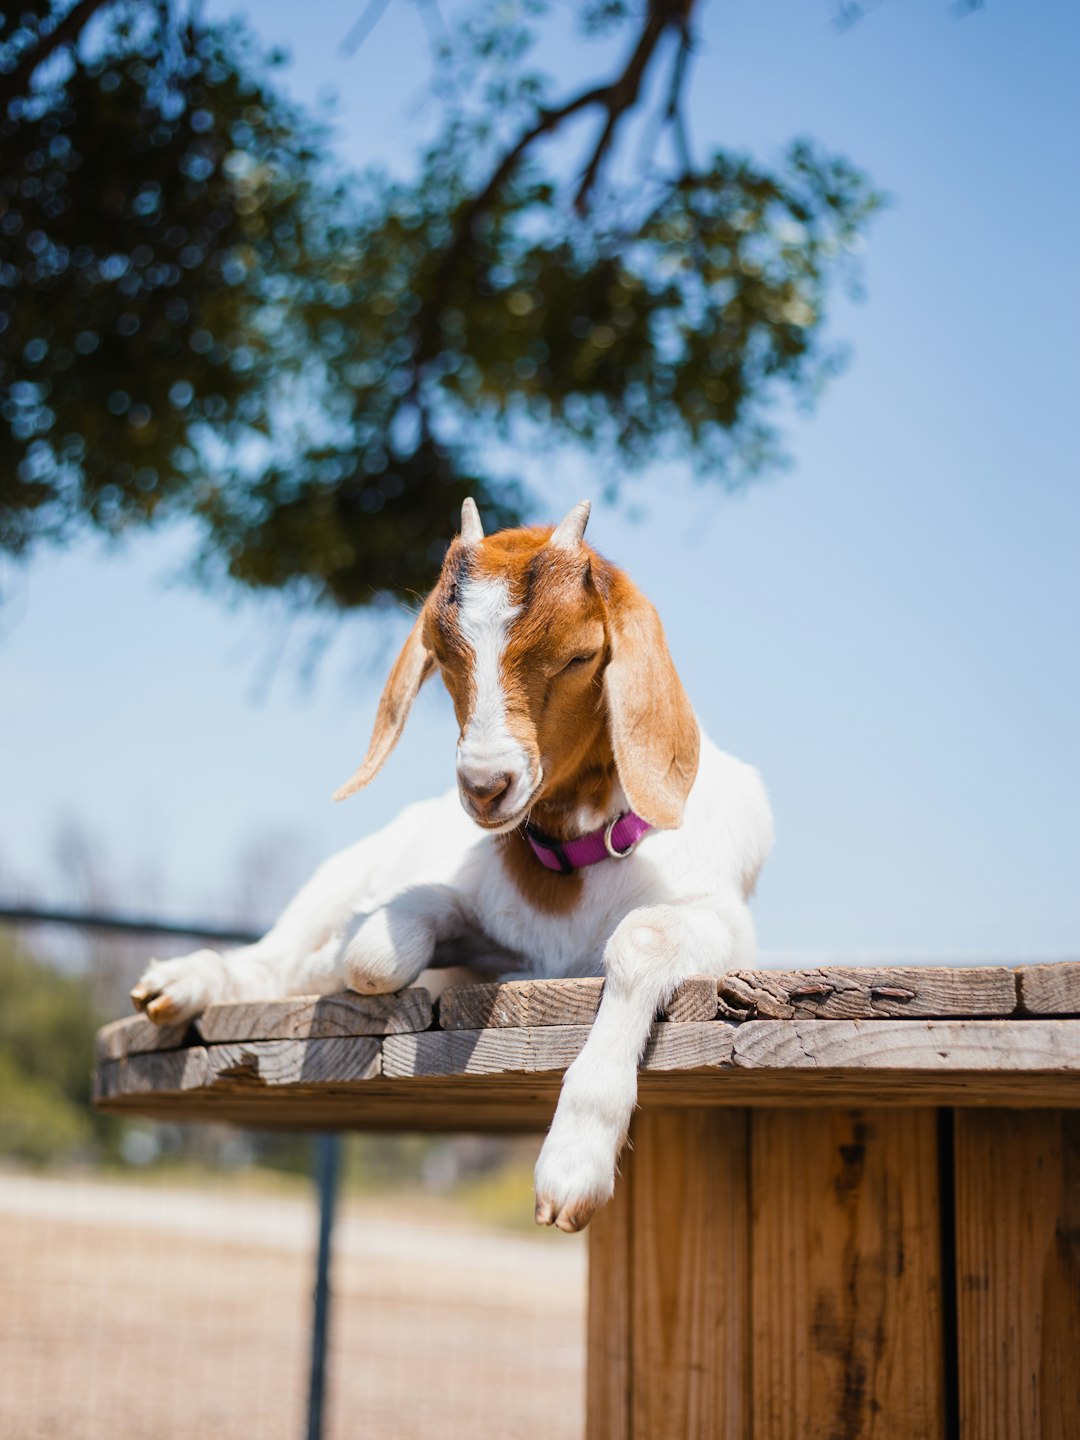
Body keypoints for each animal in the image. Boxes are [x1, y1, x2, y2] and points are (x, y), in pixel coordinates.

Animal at [133, 501, 777, 1232]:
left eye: (580, 656)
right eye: (442, 656)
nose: (485, 785)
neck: (570, 863)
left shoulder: (721, 925)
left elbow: (639, 937)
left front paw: (573, 1164)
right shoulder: (454, 902)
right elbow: (378, 951)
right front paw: (332, 959)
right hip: (343, 869)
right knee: (268, 958)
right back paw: (186, 980)